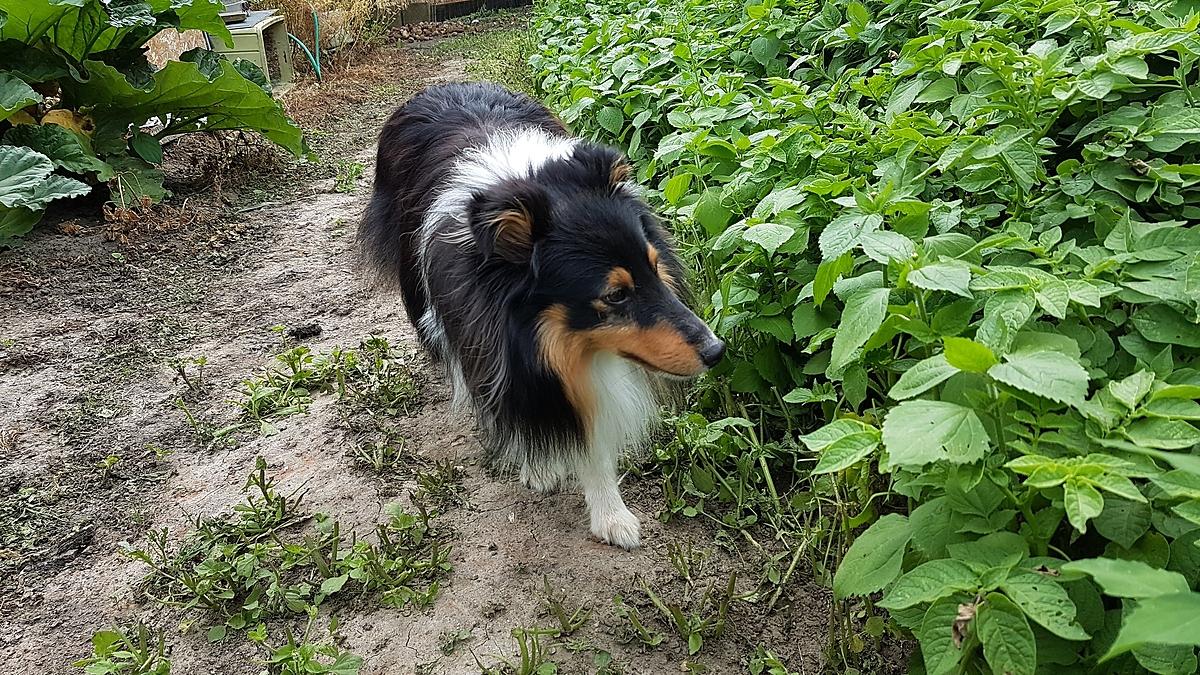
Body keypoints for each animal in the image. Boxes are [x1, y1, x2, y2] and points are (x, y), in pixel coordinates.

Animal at [357, 82, 720, 547]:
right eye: (615, 295)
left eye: (655, 267)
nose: (716, 350)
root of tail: (438, 86)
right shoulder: (489, 343)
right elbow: (514, 404)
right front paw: (539, 466)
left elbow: (590, 431)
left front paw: (612, 515)